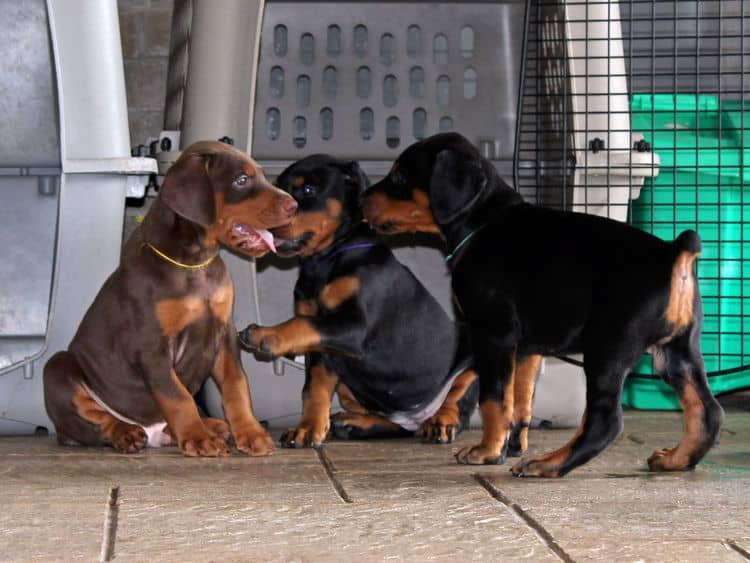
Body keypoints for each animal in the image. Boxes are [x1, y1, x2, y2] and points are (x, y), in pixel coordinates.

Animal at [44, 142, 300, 458]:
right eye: (241, 180)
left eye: (263, 175)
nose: (294, 206)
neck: (196, 262)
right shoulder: (151, 344)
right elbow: (177, 396)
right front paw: (197, 438)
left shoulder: (225, 332)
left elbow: (237, 385)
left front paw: (250, 433)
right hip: (57, 368)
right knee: (96, 420)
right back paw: (127, 433)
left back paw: (214, 426)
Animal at [238, 155, 478, 450]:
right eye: (277, 188)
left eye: (308, 190)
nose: (267, 221)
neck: (325, 261)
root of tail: (417, 417)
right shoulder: (322, 349)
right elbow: (313, 389)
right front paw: (307, 430)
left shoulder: (355, 326)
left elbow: (300, 322)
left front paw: (264, 335)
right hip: (351, 387)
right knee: (396, 424)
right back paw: (353, 423)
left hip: (473, 359)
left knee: (457, 397)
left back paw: (441, 422)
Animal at [364, 132, 728, 476]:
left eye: (399, 177)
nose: (361, 197)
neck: (481, 223)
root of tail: (672, 253)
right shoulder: (526, 349)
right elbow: (519, 402)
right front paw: (509, 447)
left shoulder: (494, 335)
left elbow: (493, 399)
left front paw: (486, 452)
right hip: (677, 352)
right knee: (707, 411)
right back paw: (676, 460)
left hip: (607, 350)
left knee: (604, 421)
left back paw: (548, 464)